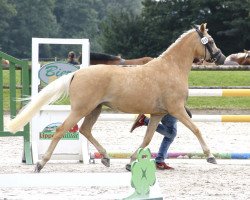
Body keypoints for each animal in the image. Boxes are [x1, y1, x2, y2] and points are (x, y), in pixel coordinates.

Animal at [8, 23, 226, 172]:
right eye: (211, 41)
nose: (221, 58)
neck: (171, 68)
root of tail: (76, 73)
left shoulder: (157, 114)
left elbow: (147, 138)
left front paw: (130, 161)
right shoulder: (177, 109)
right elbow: (196, 129)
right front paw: (210, 156)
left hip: (94, 110)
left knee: (85, 130)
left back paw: (105, 157)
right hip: (81, 109)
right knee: (61, 130)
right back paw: (40, 163)